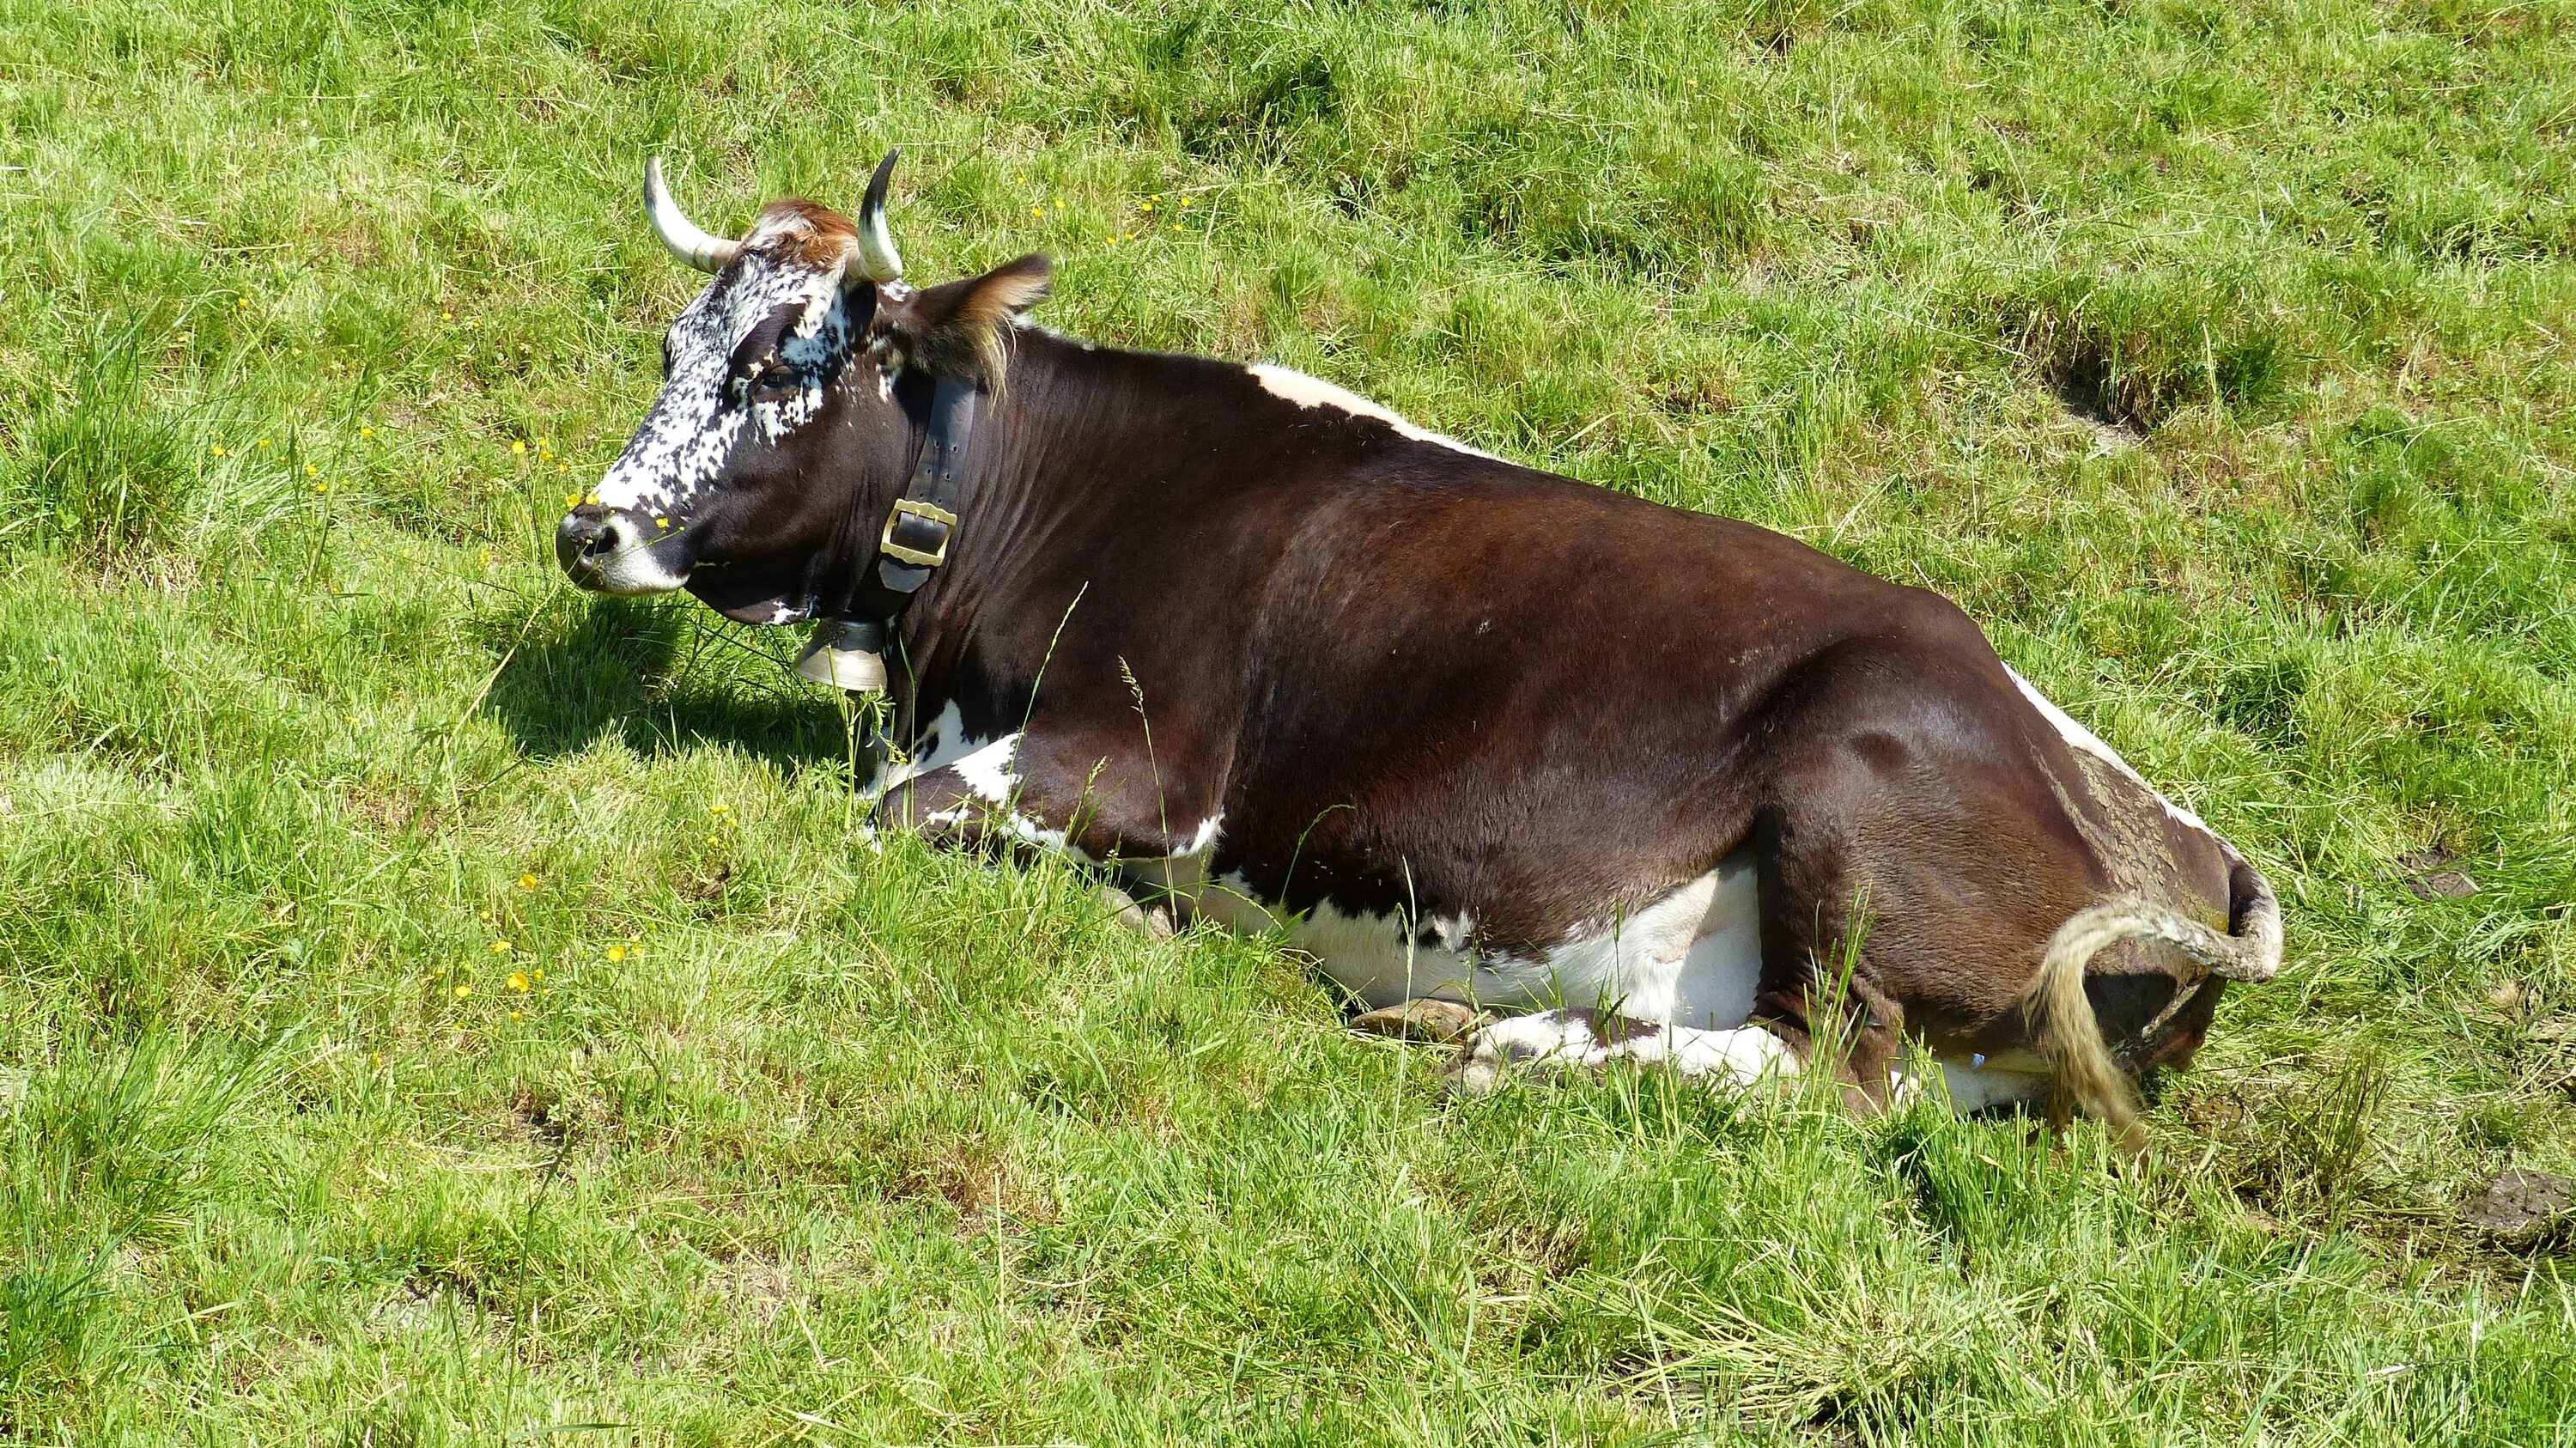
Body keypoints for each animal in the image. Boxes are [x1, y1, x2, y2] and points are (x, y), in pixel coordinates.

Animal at [559, 152, 2277, 1134]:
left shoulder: (1147, 765)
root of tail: (2189, 850)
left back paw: (1524, 1051)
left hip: (1854, 807)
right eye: (674, 344)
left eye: (784, 363)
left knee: (1829, 1080)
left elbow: (882, 817)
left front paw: (1130, 917)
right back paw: (1460, 1015)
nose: (590, 529)